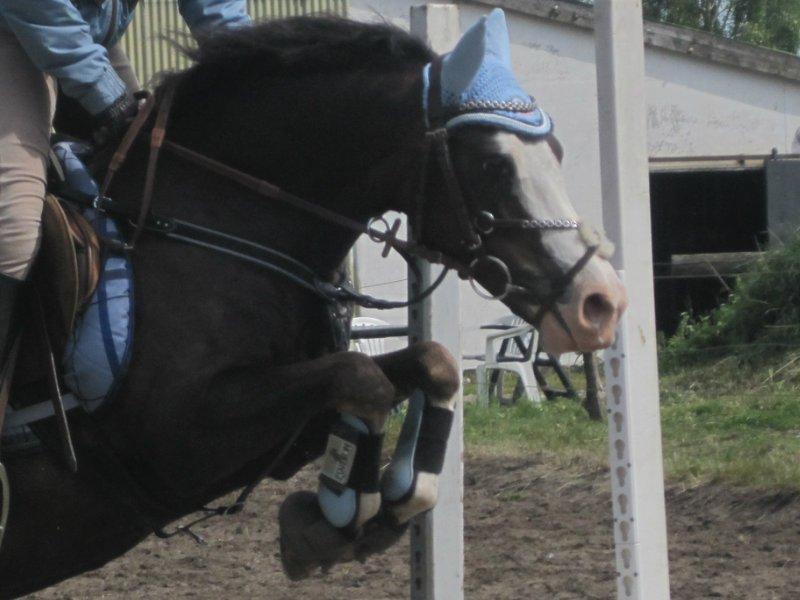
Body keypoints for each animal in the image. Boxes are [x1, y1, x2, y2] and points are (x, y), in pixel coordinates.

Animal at [0, 16, 624, 596]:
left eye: (557, 152)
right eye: (494, 164)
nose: (600, 303)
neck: (210, 219)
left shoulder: (284, 425)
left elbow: (429, 366)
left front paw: (366, 505)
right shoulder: (173, 437)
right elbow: (362, 378)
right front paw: (348, 508)